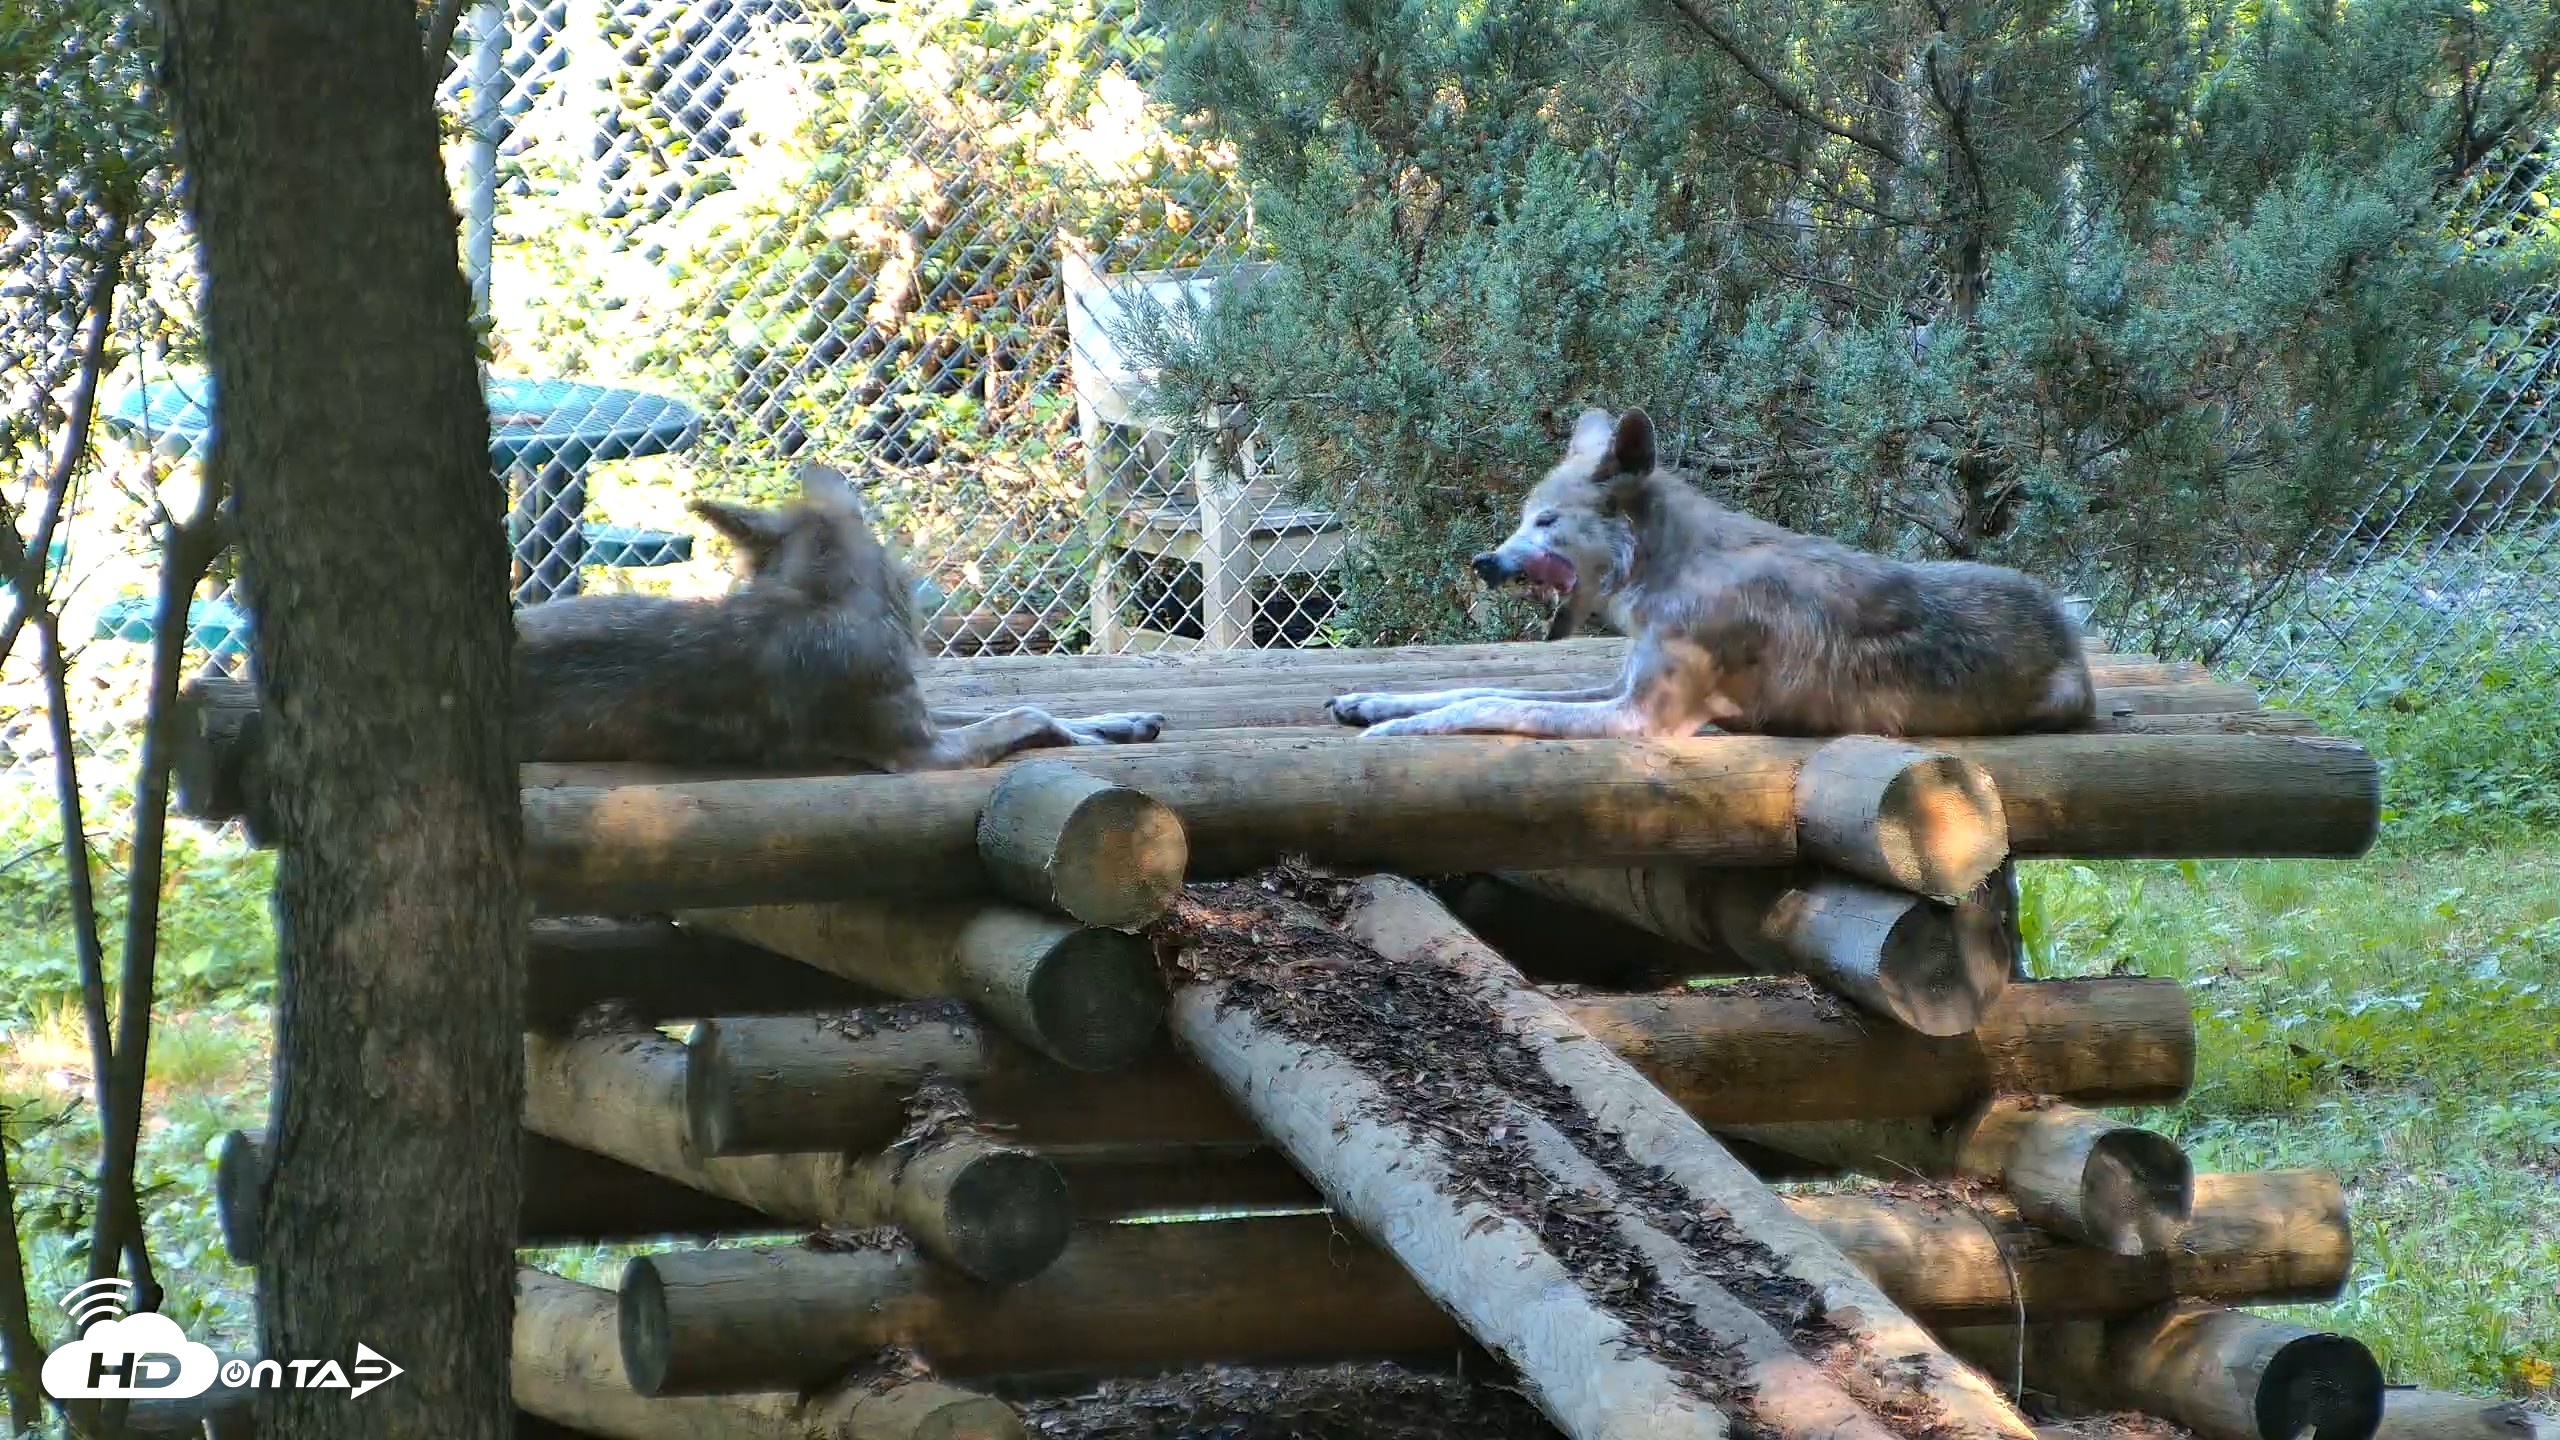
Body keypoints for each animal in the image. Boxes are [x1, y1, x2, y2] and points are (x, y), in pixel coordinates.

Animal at [513, 463, 1167, 770]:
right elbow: (1028, 713)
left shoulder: (920, 712)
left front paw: (1122, 721)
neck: (822, 597)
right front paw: (1085, 733)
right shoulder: (922, 754)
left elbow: (1027, 707)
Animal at [1326, 408, 2095, 740]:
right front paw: (1376, 702)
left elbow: (1495, 705)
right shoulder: (1618, 684)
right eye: (1520, 520)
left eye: (1544, 522)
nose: (1484, 561)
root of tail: (2070, 629)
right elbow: (1477, 685)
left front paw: (1401, 731)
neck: (1669, 574)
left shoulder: (1640, 718)